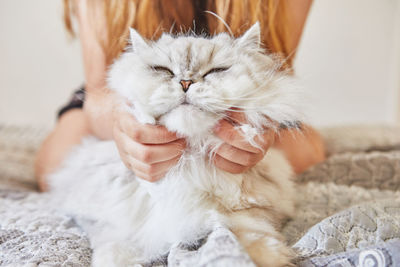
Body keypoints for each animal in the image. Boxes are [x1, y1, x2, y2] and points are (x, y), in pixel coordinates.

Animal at [48, 23, 302, 267]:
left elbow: (248, 231)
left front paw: (270, 256)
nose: (186, 82)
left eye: (216, 71)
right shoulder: (105, 221)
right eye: (163, 70)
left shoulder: (254, 210)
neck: (191, 162)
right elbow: (114, 244)